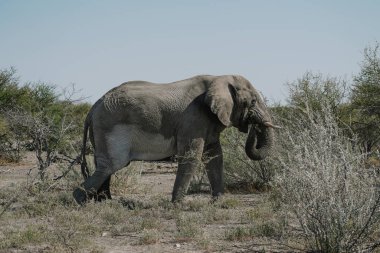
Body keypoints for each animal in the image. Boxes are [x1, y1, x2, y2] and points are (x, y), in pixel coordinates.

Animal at [72, 74, 280, 205]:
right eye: (253, 101)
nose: (254, 125)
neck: (219, 78)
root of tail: (93, 106)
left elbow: (215, 157)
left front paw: (219, 202)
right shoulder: (193, 118)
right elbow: (192, 156)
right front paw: (178, 205)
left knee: (104, 166)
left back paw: (105, 202)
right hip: (109, 128)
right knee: (111, 165)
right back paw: (78, 200)